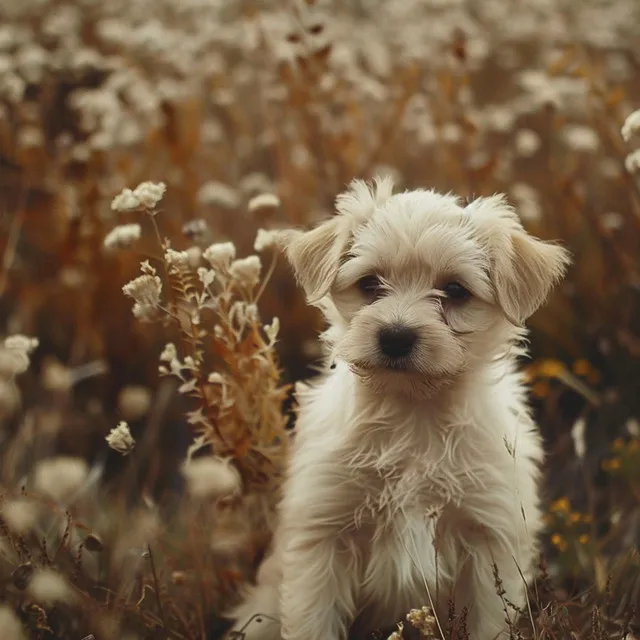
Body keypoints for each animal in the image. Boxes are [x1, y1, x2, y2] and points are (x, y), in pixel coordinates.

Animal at [226, 176, 568, 640]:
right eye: (370, 285)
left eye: (455, 291)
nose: (395, 336)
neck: (413, 413)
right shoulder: (322, 538)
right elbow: (313, 622)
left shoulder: (489, 539)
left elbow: (488, 620)